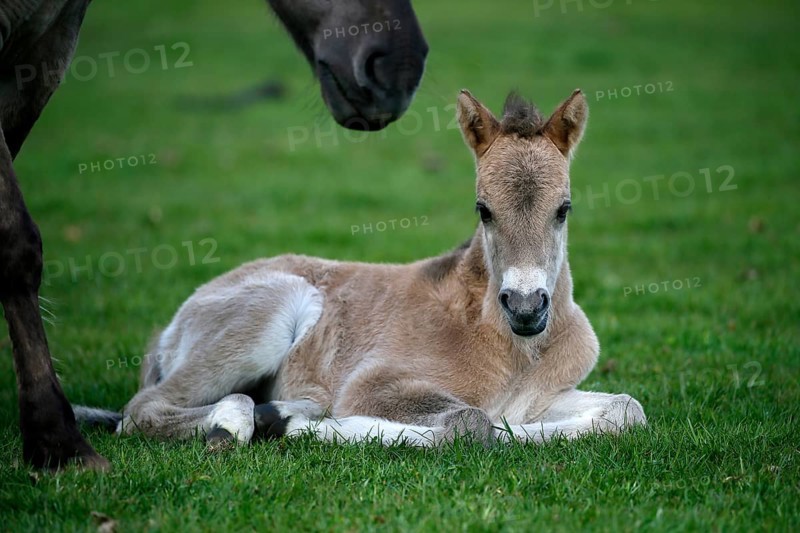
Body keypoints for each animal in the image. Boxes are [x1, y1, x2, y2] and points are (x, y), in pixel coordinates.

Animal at [77, 89, 647, 448]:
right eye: (483, 210)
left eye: (563, 209)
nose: (526, 308)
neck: (513, 350)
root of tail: (172, 326)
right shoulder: (372, 385)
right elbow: (473, 423)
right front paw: (311, 429)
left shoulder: (543, 396)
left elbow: (626, 409)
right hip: (266, 315)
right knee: (142, 410)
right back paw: (247, 423)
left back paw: (278, 412)